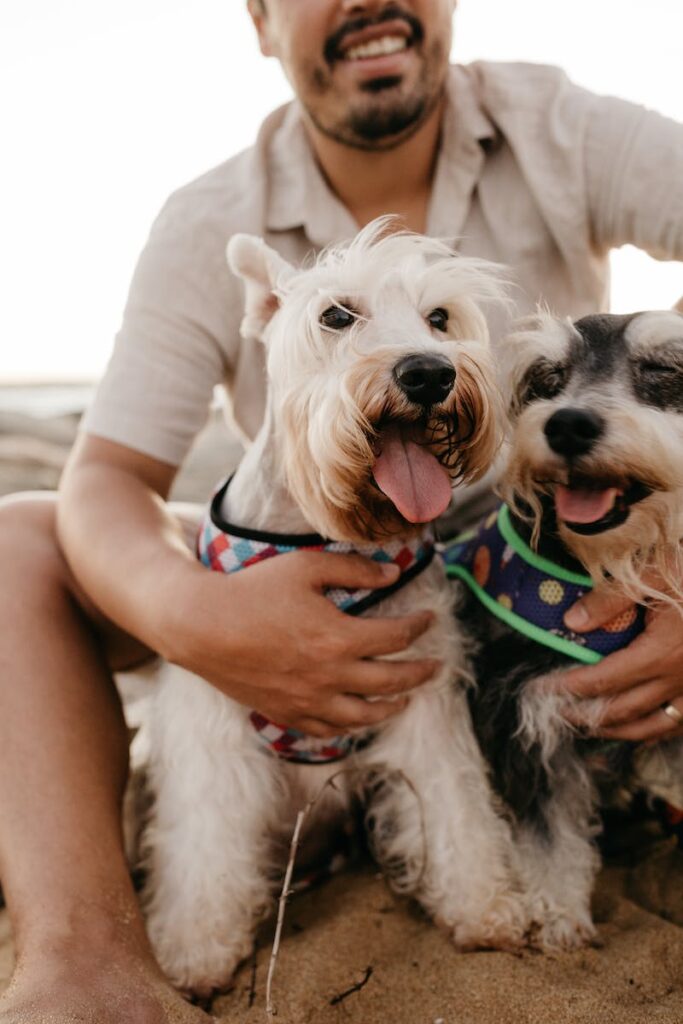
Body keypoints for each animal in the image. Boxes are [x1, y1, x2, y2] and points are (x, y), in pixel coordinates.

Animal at [141, 222, 528, 991]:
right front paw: (199, 944)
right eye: (336, 316)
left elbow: (455, 806)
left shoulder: (424, 700)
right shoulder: (212, 721)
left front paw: (482, 902)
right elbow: (205, 839)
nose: (429, 375)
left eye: (439, 318)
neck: (325, 533)